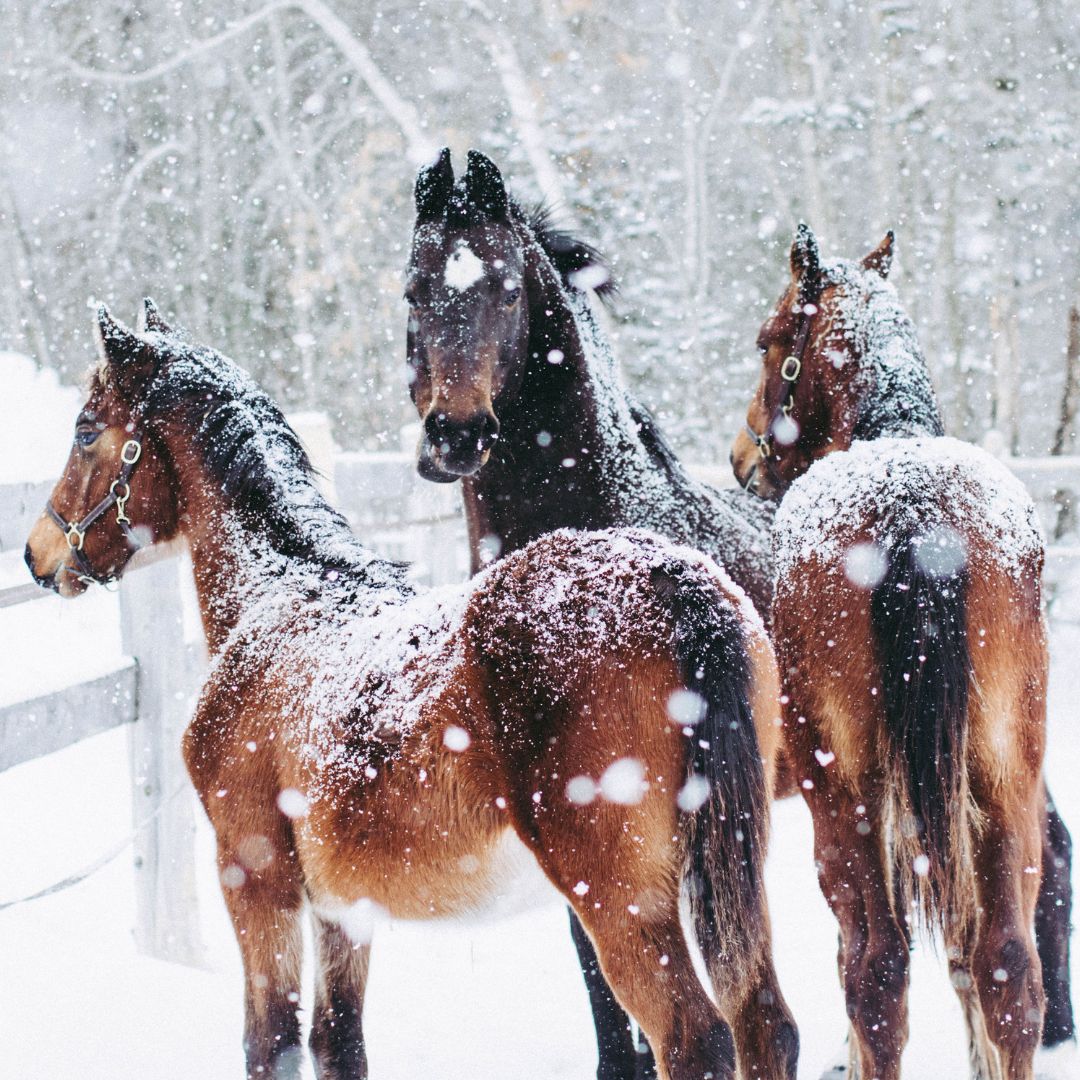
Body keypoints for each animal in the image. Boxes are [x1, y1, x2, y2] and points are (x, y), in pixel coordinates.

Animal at [26, 302, 799, 1080]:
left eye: (87, 429)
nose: (38, 554)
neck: (280, 597)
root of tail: (679, 585)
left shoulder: (255, 881)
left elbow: (271, 1043)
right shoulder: (343, 910)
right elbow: (338, 1044)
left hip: (622, 899)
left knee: (696, 1037)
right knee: (766, 1025)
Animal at [731, 226, 1073, 1079]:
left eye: (768, 342)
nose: (743, 461)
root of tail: (912, 510)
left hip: (843, 794)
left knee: (875, 970)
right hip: (1005, 781)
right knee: (1008, 970)